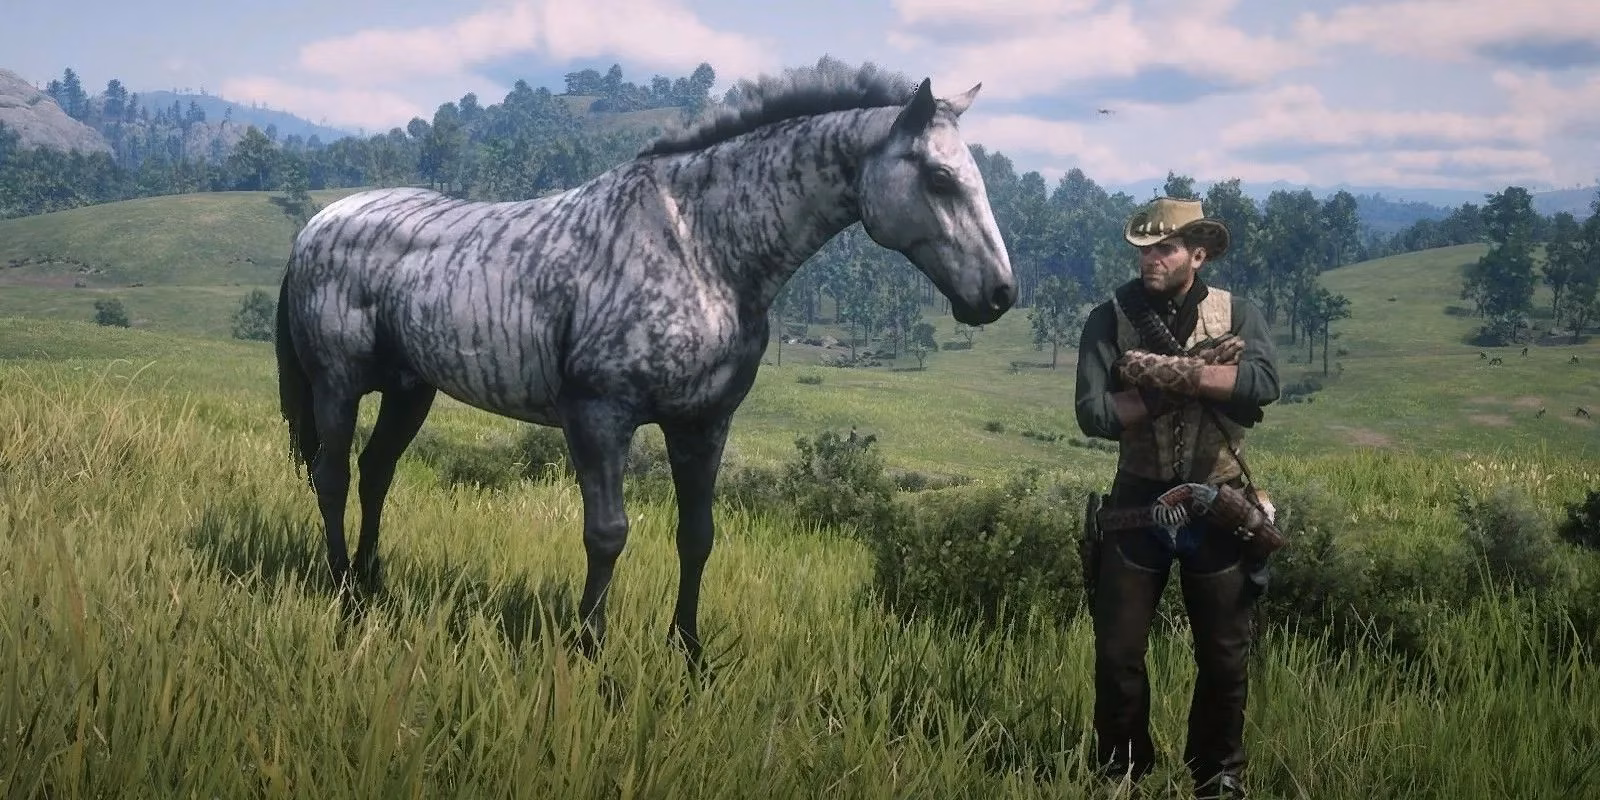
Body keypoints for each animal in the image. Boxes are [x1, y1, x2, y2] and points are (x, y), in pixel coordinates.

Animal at [272, 60, 1016, 669]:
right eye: (940, 177)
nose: (1000, 294)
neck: (700, 247)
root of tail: (315, 226)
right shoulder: (600, 417)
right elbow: (607, 535)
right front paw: (589, 652)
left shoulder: (703, 425)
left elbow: (697, 537)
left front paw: (689, 655)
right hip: (338, 385)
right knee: (334, 477)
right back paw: (345, 595)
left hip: (410, 391)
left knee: (377, 473)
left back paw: (374, 582)